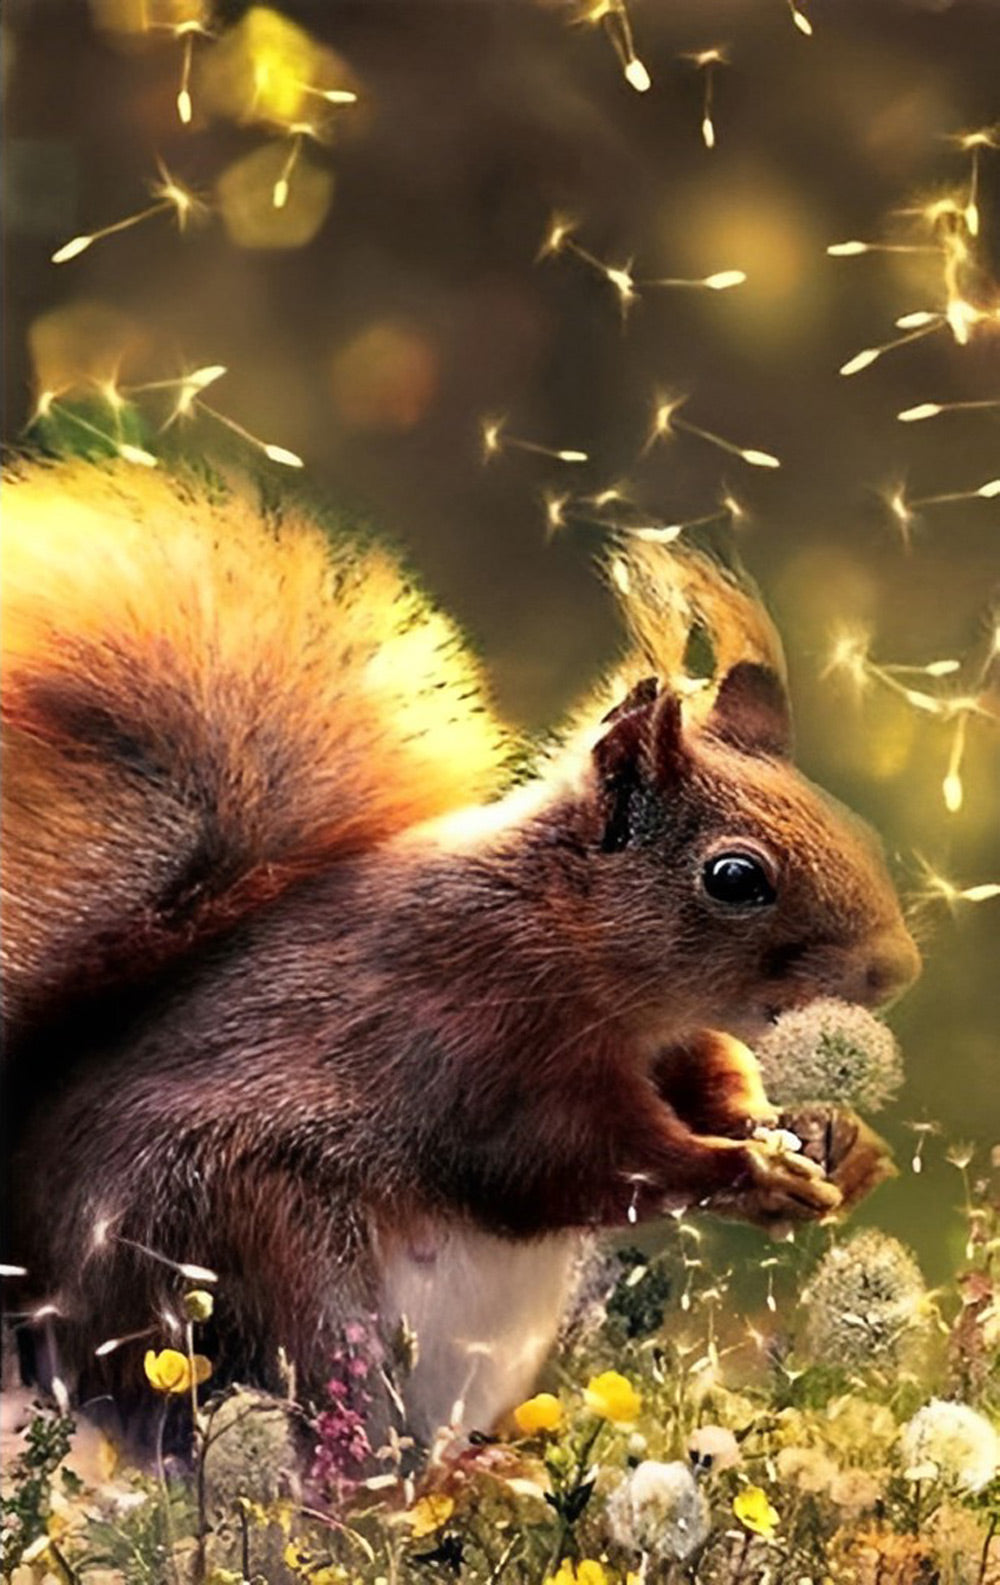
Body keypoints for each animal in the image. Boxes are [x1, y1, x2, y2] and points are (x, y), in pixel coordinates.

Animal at [1, 457, 920, 1449]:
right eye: (736, 876)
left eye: (858, 828)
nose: (896, 970)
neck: (573, 936)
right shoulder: (476, 1036)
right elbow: (570, 1161)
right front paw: (749, 1171)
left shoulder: (677, 1043)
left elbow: (715, 1090)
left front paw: (831, 1140)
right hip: (264, 1260)